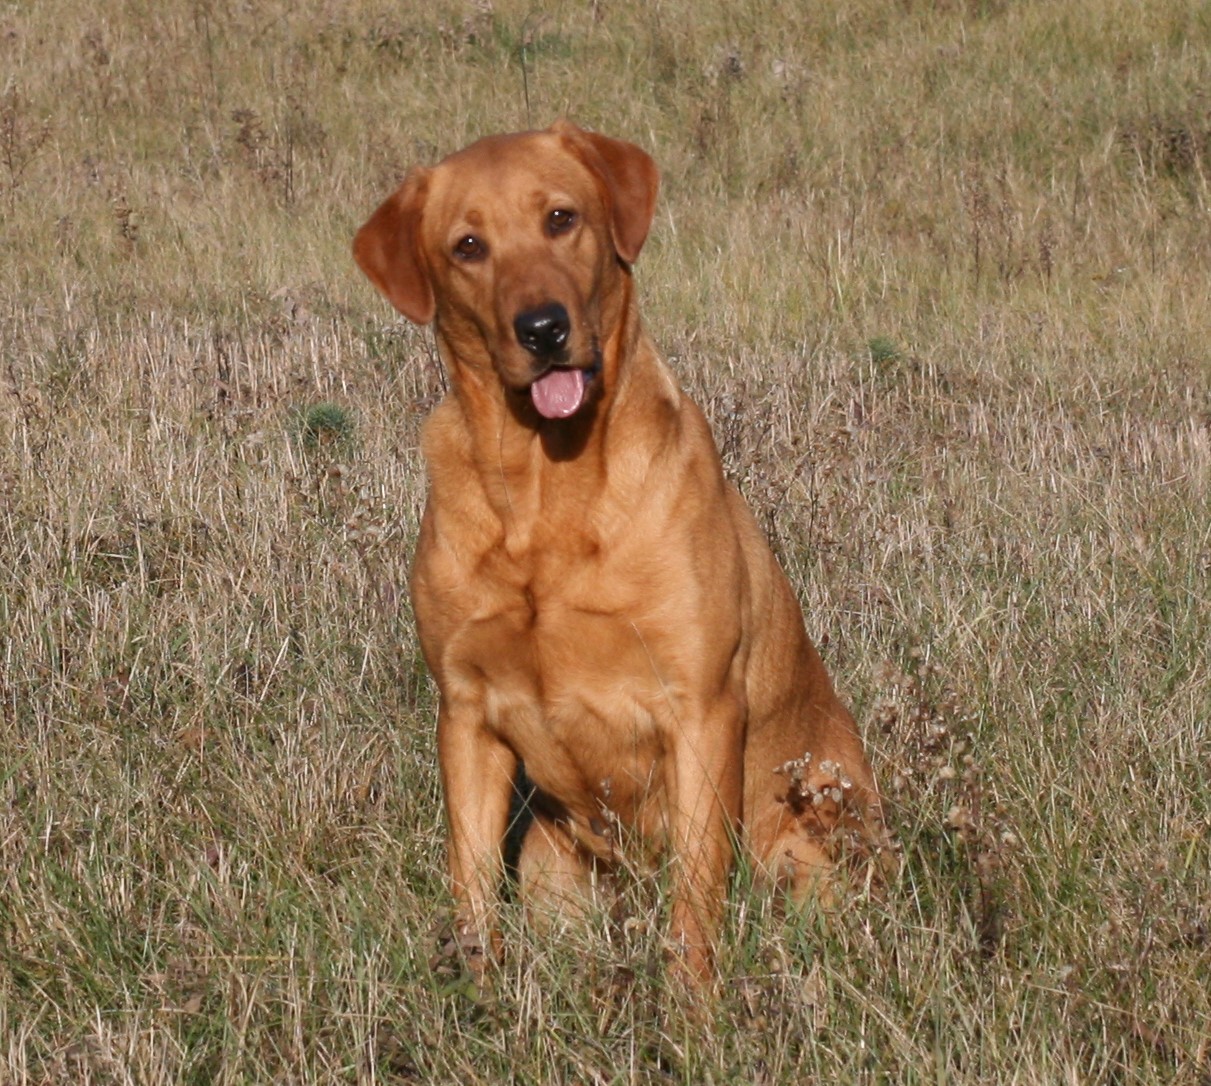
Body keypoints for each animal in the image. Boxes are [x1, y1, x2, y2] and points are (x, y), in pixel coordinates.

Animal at [353, 121, 891, 983]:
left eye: (561, 218)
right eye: (468, 245)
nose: (542, 328)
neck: (543, 492)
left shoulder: (700, 709)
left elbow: (693, 912)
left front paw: (691, 1014)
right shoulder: (465, 715)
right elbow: (471, 888)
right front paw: (479, 995)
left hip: (808, 848)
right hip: (552, 874)